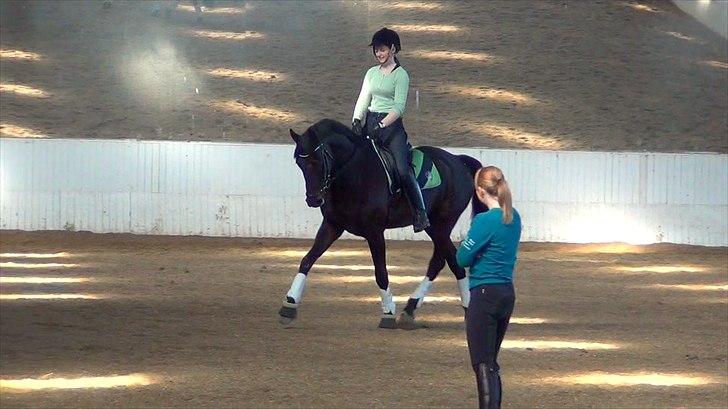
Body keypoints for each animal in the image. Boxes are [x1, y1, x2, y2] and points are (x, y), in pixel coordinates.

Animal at [282, 118, 486, 328]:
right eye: (300, 163)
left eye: (319, 160)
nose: (313, 199)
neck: (354, 173)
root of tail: (458, 160)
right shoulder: (332, 225)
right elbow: (307, 260)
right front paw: (290, 303)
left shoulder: (374, 231)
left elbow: (380, 272)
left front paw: (388, 312)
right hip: (434, 226)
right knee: (443, 260)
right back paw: (412, 308)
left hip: (441, 224)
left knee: (449, 260)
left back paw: (463, 307)